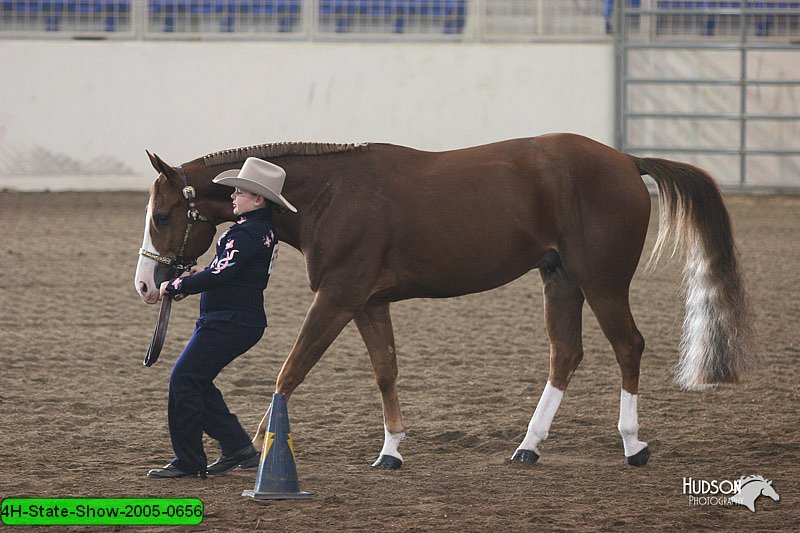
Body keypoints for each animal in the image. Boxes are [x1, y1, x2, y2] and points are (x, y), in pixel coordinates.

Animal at [134, 134, 752, 470]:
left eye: (162, 215)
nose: (147, 285)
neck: (330, 196)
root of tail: (626, 160)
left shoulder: (336, 298)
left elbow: (291, 370)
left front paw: (265, 447)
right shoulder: (368, 303)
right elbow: (385, 371)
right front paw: (391, 450)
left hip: (602, 282)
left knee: (628, 346)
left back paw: (632, 445)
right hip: (560, 279)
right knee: (566, 354)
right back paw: (528, 447)